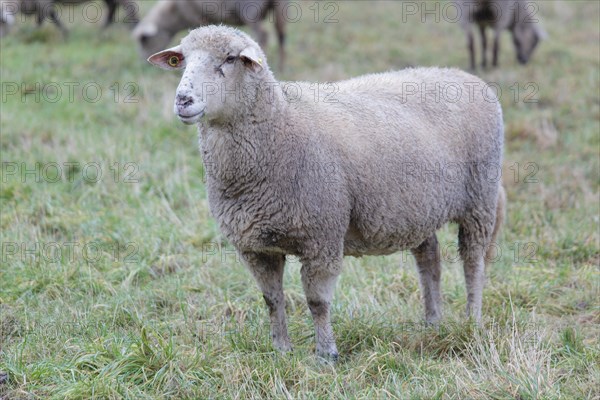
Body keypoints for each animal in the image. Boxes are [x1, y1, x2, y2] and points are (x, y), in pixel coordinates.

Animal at [134, 0, 288, 71]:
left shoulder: (199, 17)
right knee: (281, 35)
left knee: (263, 35)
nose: (143, 63)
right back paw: (280, 67)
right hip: (280, 6)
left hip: (250, 10)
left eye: (144, 40)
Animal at [149, 26, 506, 360]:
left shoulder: (322, 235)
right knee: (429, 258)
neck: (281, 126)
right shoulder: (255, 246)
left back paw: (472, 321)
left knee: (473, 263)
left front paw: (326, 355)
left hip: (480, 199)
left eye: (229, 59)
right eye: (181, 60)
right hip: (416, 207)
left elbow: (317, 301)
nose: (183, 100)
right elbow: (271, 300)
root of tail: (464, 75)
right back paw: (432, 322)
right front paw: (281, 350)